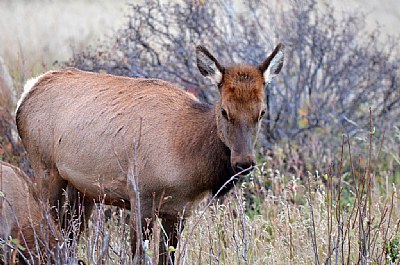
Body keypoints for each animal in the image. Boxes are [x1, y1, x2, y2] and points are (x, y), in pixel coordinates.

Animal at [16, 42, 284, 262]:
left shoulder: (179, 210)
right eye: (224, 111)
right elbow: (138, 255)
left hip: (81, 190)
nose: (244, 163)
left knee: (69, 236)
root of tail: (26, 92)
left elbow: (168, 256)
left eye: (261, 112)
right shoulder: (140, 195)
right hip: (45, 169)